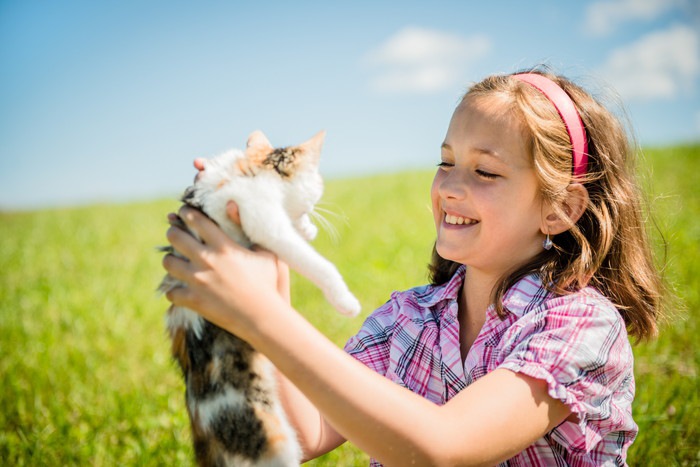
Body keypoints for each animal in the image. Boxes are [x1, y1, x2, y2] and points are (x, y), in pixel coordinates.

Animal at [159, 131, 360, 467]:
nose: (311, 217)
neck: (258, 168)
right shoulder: (262, 217)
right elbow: (310, 259)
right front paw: (344, 299)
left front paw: (306, 228)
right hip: (270, 444)